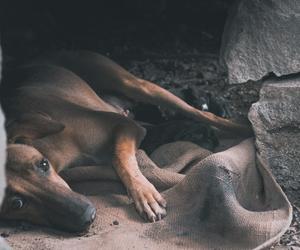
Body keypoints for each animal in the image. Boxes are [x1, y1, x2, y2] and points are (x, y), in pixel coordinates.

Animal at [0, 51, 252, 232]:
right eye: (16, 204)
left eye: (42, 165)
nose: (87, 216)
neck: (55, 150)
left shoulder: (124, 126)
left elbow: (119, 158)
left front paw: (144, 194)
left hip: (137, 85)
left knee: (203, 114)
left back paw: (246, 127)